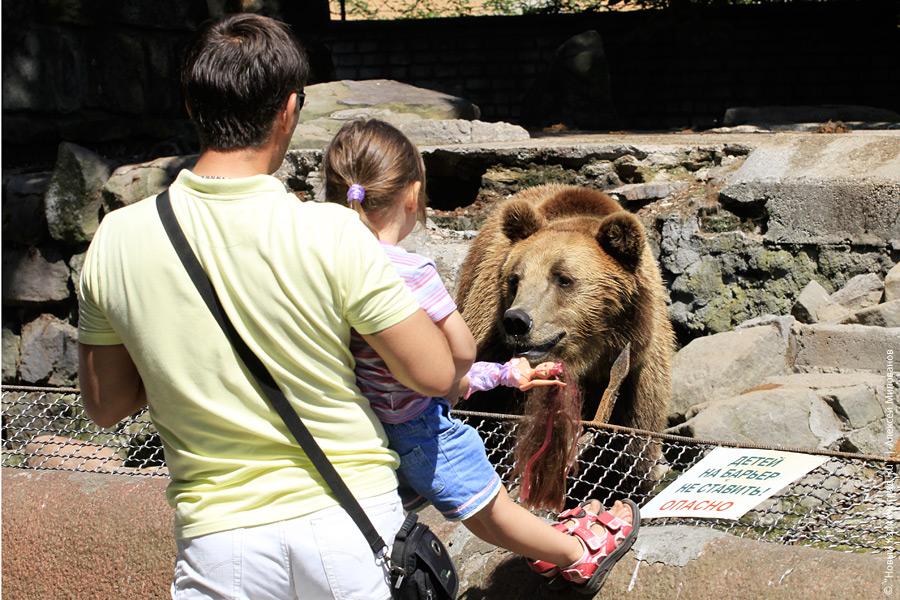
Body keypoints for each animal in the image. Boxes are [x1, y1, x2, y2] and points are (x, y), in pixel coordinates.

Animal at [455, 184, 675, 503]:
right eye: (515, 279)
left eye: (563, 278)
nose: (517, 321)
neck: (585, 364)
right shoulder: (497, 372)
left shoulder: (634, 386)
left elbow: (623, 465)